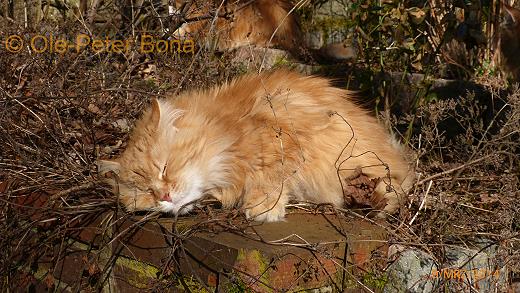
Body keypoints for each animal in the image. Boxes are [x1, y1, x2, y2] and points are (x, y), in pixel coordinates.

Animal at [98, 69, 414, 220]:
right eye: (145, 191)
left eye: (164, 168)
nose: (163, 196)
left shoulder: (282, 133)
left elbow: (271, 173)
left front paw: (264, 206)